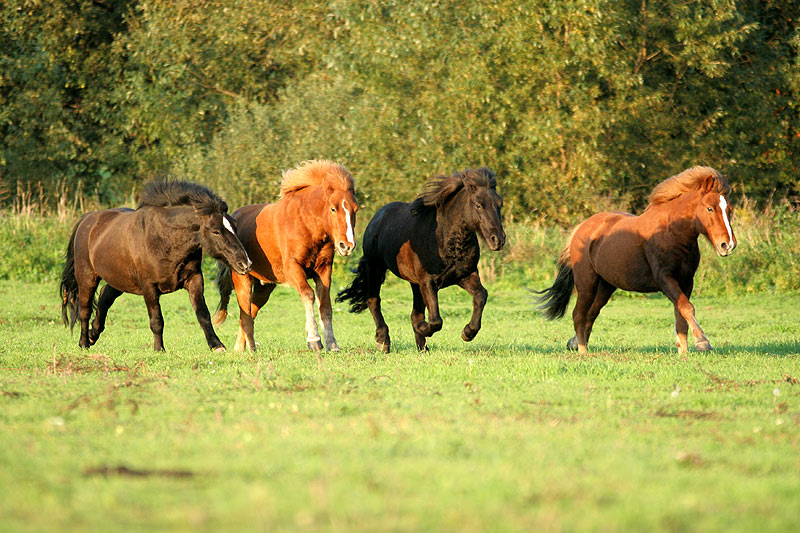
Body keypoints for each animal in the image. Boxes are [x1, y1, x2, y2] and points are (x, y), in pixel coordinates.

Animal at [59, 181, 252, 352]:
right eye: (216, 231)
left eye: (235, 226)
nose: (245, 264)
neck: (165, 239)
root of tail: (87, 219)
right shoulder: (149, 287)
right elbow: (156, 320)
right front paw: (159, 348)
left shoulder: (194, 279)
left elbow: (203, 314)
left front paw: (217, 345)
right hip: (87, 277)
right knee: (84, 309)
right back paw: (84, 343)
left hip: (120, 279)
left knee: (105, 295)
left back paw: (93, 334)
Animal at [216, 160, 360, 352]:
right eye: (333, 209)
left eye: (355, 209)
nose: (347, 246)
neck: (306, 224)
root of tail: (236, 215)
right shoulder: (293, 268)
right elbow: (308, 295)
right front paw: (314, 339)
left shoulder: (324, 269)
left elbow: (325, 305)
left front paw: (332, 344)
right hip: (243, 280)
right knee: (245, 313)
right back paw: (249, 349)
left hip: (264, 288)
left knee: (250, 312)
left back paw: (240, 348)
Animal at [338, 166, 506, 350]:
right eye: (478, 205)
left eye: (500, 205)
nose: (498, 240)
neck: (444, 239)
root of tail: (377, 218)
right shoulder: (428, 282)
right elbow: (436, 320)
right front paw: (424, 328)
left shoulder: (464, 275)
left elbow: (481, 295)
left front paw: (468, 332)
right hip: (375, 268)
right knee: (374, 300)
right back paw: (383, 341)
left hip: (414, 283)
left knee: (415, 312)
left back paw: (422, 348)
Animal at [536, 166, 736, 354]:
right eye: (709, 208)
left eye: (729, 209)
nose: (728, 245)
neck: (672, 234)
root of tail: (581, 228)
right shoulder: (665, 279)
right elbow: (687, 308)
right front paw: (702, 341)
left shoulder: (686, 281)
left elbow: (681, 316)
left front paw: (683, 352)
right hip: (587, 283)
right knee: (579, 314)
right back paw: (583, 351)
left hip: (605, 286)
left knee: (591, 314)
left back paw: (574, 343)